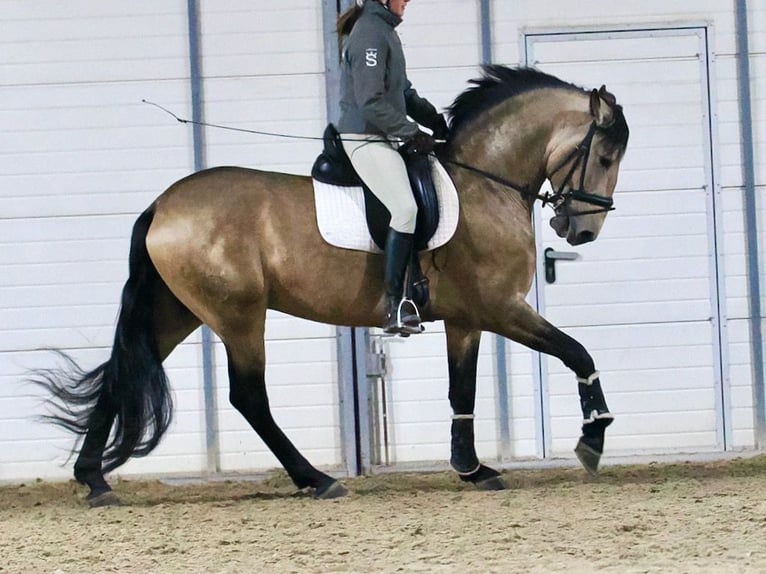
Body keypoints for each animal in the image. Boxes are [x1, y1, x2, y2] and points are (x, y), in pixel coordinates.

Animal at [34, 67, 632, 506]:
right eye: (604, 156)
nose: (581, 231)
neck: (483, 183)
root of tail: (163, 204)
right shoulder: (501, 308)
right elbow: (576, 352)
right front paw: (593, 438)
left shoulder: (467, 319)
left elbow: (461, 389)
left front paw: (472, 469)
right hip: (238, 315)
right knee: (248, 396)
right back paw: (316, 479)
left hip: (177, 312)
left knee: (123, 374)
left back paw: (95, 481)